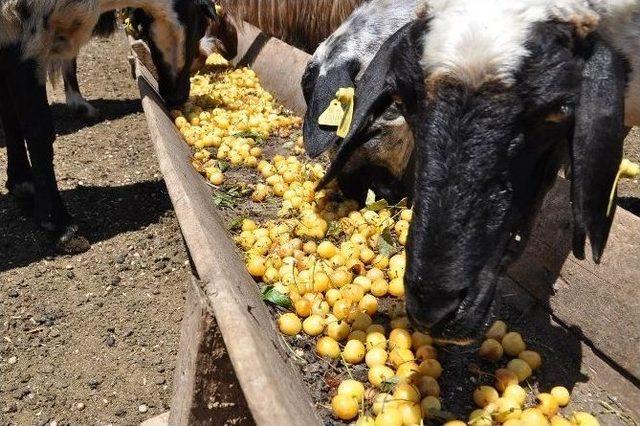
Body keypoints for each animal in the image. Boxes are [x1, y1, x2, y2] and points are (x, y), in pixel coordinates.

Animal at [0, 0, 218, 253]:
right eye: (200, 25)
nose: (180, 97)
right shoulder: (26, 38)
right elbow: (38, 130)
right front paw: (61, 226)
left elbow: (10, 116)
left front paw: (21, 181)